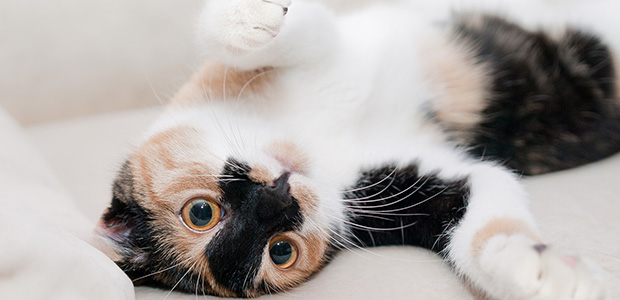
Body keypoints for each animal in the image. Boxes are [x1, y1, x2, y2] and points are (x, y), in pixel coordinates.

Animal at [97, 0, 620, 298]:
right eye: (280, 251)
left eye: (200, 213)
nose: (279, 201)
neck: (316, 138)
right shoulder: (416, 184)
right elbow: (483, 215)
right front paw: (539, 269)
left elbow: (247, 35)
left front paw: (249, 21)